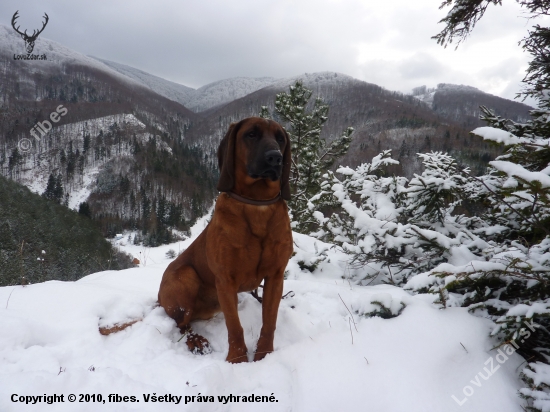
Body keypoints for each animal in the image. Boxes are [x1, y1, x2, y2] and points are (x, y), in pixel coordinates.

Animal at [158, 116, 294, 364]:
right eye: (251, 134)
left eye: (280, 138)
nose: (275, 158)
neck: (256, 203)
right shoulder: (225, 280)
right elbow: (234, 327)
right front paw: (237, 360)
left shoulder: (275, 276)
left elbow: (269, 322)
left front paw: (264, 355)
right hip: (185, 278)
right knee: (182, 326)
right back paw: (197, 341)